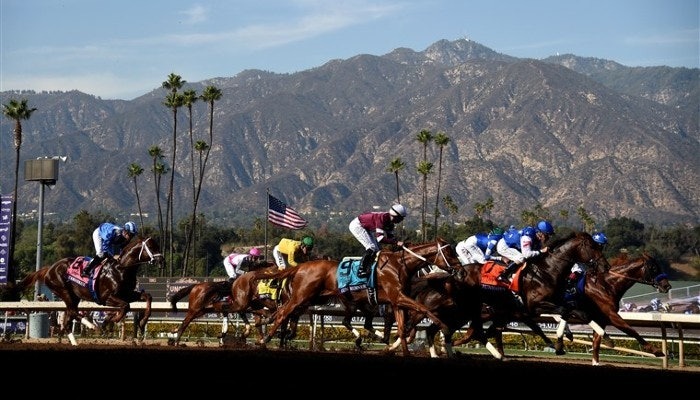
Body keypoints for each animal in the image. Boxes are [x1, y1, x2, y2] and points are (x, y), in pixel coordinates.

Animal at [17, 236, 165, 346]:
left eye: (158, 245)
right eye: (151, 246)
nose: (161, 260)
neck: (121, 269)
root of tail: (50, 268)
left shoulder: (127, 294)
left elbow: (147, 297)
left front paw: (142, 321)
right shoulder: (106, 298)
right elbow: (125, 306)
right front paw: (110, 320)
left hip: (74, 296)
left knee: (68, 320)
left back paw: (76, 342)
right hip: (64, 291)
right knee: (73, 313)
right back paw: (93, 327)